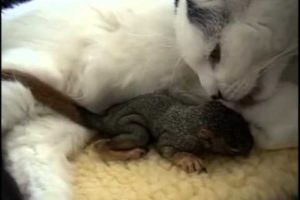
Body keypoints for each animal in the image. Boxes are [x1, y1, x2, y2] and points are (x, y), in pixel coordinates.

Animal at [3, 69, 254, 173]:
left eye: (243, 121)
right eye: (232, 145)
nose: (250, 148)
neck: (194, 118)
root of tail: (105, 119)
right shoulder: (178, 137)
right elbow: (166, 149)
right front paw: (188, 160)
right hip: (130, 127)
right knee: (102, 145)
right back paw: (128, 153)